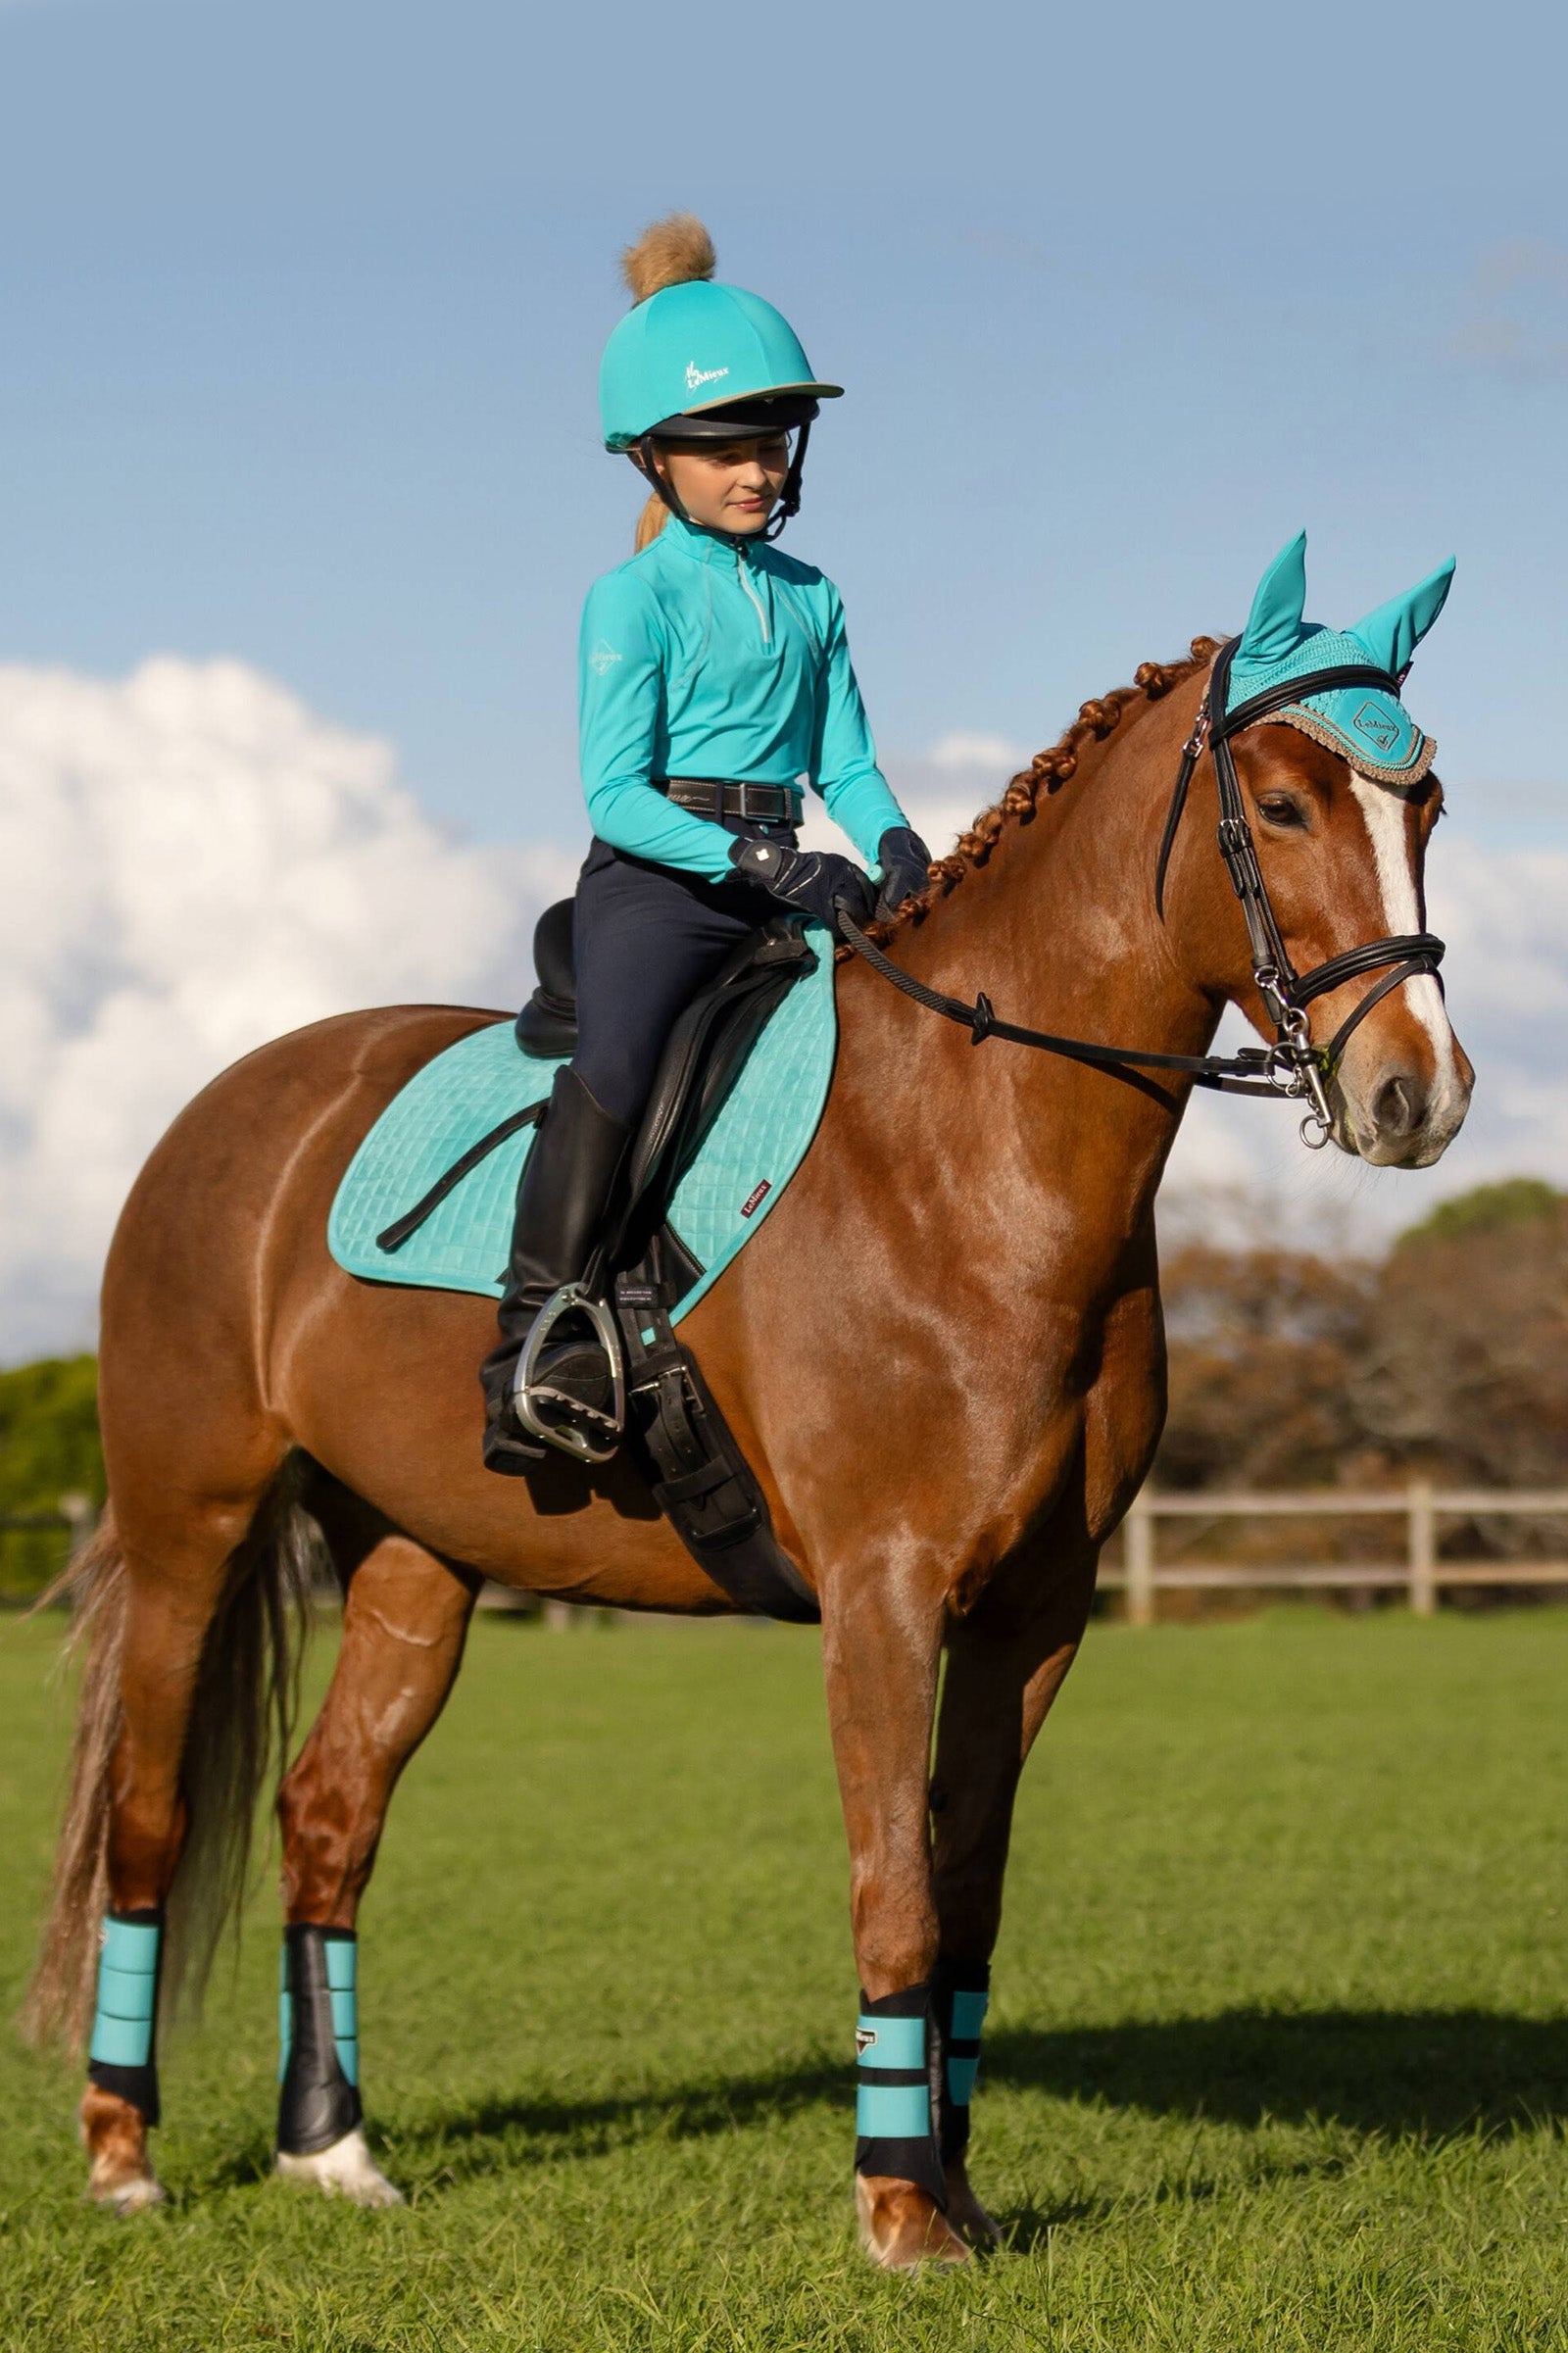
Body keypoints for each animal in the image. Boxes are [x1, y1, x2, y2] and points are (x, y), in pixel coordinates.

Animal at [25, 607, 1471, 2268]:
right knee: (147, 1817)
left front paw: (955, 2187)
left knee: (328, 1816)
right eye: (1284, 807)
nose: (1419, 1094)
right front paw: (900, 2213)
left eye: (1430, 810)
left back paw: (330, 2148)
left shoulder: (1034, 1611)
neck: (972, 1153)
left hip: (414, 1561)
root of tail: (232, 1105)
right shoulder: (883, 1594)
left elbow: (964, 1895)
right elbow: (893, 1887)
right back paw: (122, 2155)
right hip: (187, 1534)